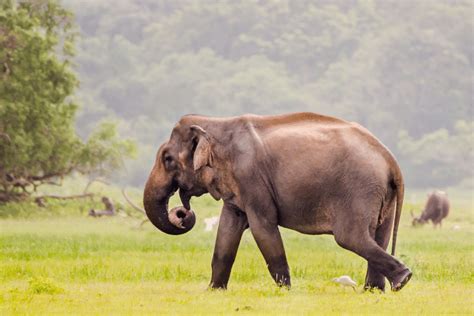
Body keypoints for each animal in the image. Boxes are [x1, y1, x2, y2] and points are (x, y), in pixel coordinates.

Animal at [143, 112, 412, 292]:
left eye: (167, 159)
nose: (183, 213)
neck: (217, 123)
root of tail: (390, 159)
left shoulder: (251, 178)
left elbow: (263, 227)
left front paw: (285, 291)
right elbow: (228, 229)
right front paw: (214, 291)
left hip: (358, 190)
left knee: (351, 237)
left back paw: (403, 280)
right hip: (381, 194)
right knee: (378, 236)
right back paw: (375, 291)